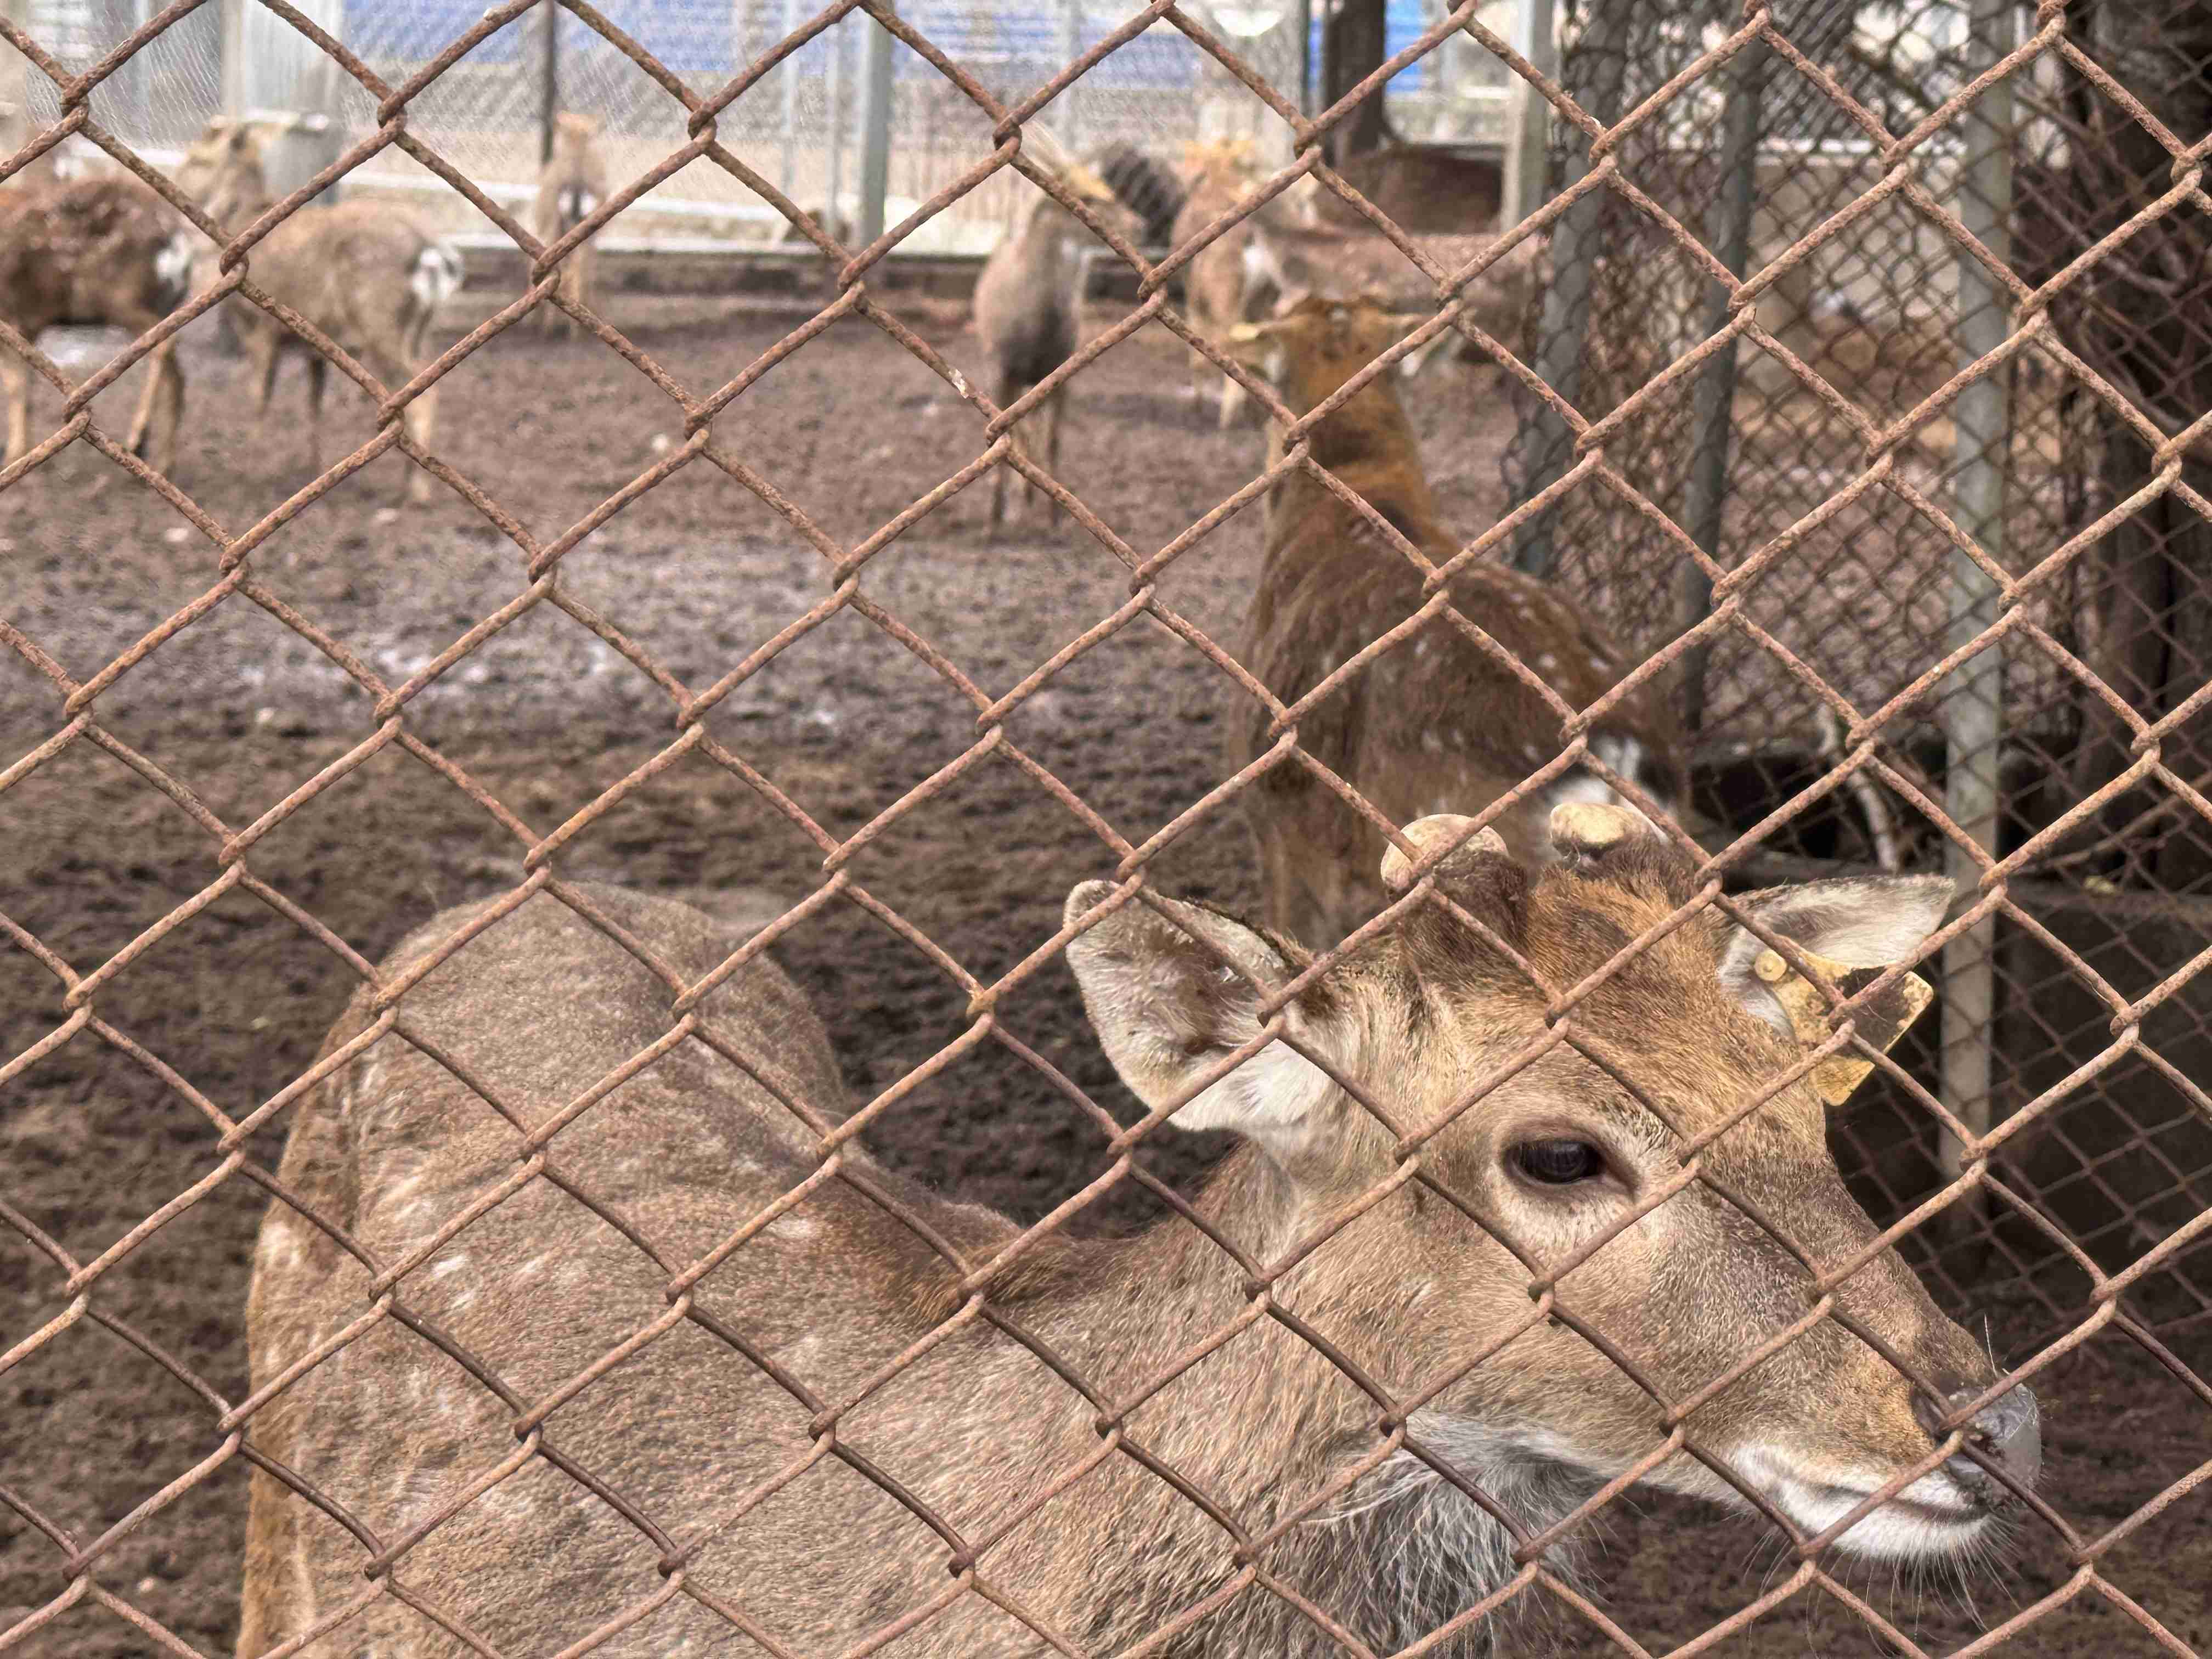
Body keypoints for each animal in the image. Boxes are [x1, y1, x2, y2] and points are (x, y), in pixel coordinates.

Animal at [0, 172, 191, 473]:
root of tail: (178, 245)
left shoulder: (13, 313)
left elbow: (15, 386)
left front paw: (16, 454)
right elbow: (24, 387)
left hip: (120, 299)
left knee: (164, 346)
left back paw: (139, 438)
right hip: (157, 304)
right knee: (177, 371)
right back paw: (163, 461)